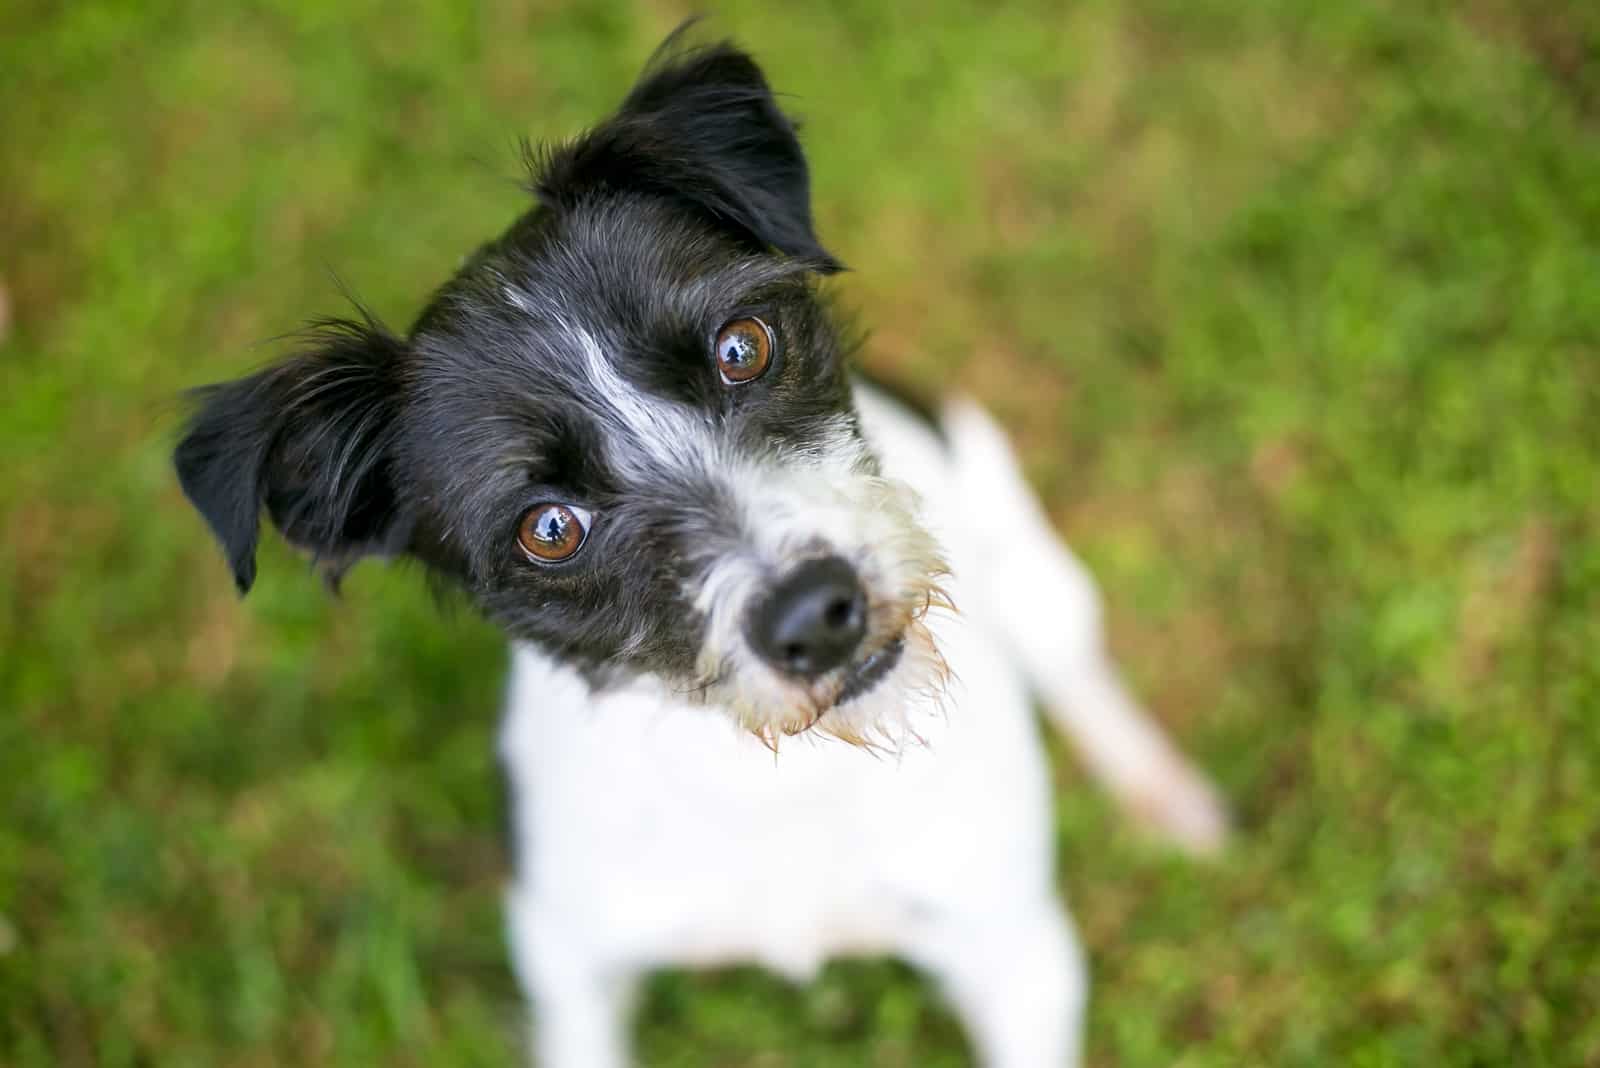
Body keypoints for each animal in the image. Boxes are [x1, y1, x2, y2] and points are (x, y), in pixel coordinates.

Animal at [175, 33, 1222, 1068]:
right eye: (548, 528)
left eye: (742, 346)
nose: (815, 617)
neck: (775, 777)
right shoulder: (570, 975)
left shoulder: (1015, 952)